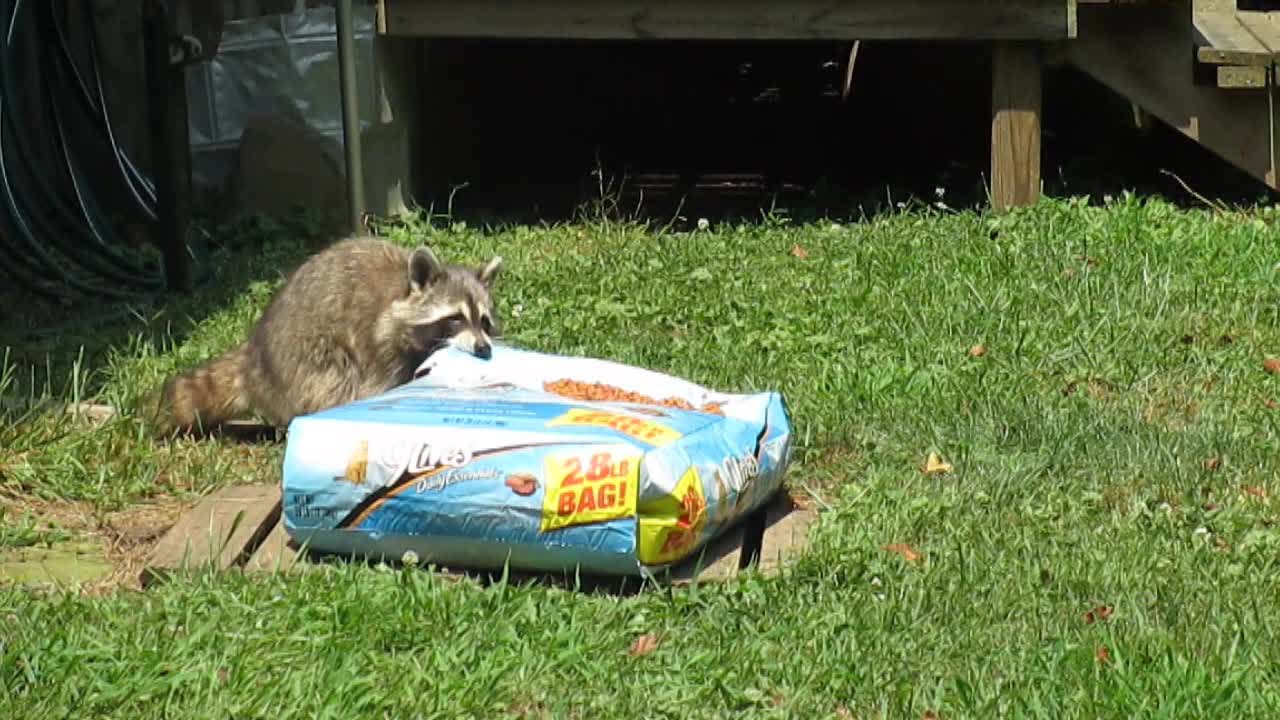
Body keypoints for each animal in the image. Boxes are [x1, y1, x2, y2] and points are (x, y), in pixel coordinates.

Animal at [152, 238, 501, 435]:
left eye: (484, 322)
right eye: (454, 318)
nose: (484, 349)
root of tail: (254, 357)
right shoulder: (379, 344)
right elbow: (378, 384)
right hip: (304, 358)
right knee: (332, 379)